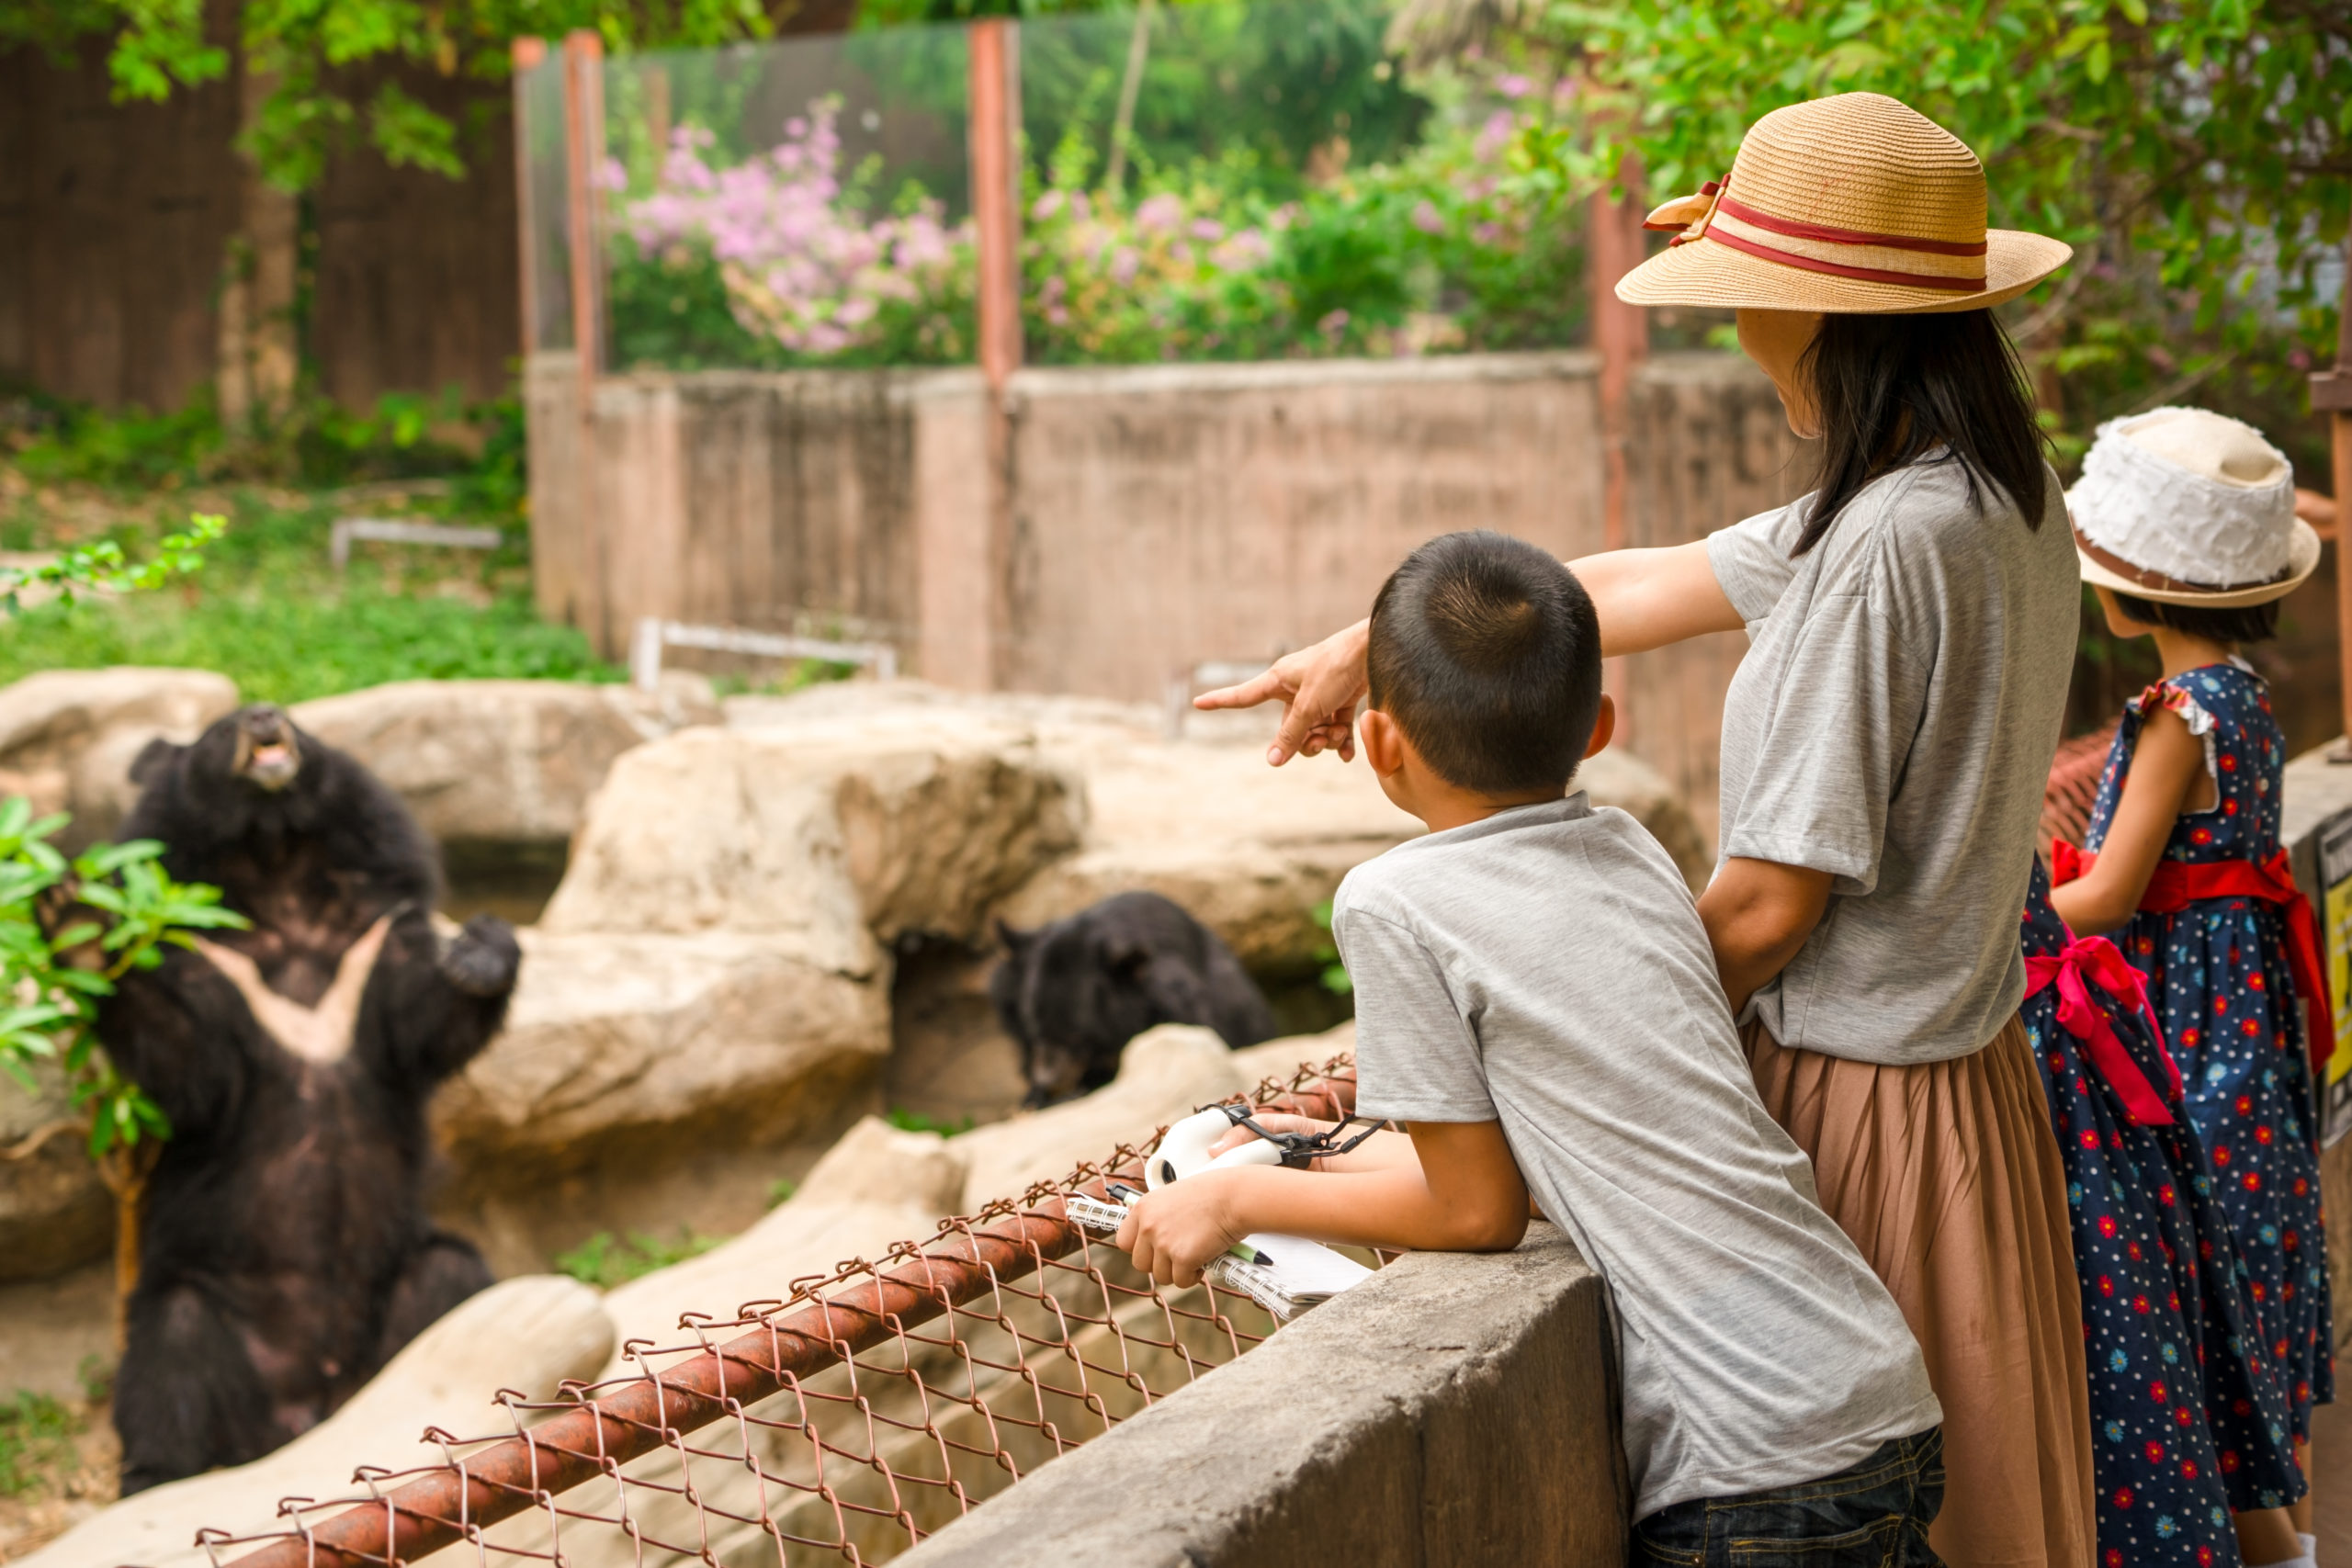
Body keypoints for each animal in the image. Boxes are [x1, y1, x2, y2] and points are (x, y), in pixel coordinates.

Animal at [90, 705, 519, 1495]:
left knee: (451, 1284)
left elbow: (426, 1018)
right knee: (171, 1353)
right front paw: (87, 941)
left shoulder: (372, 936)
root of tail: (312, 1402)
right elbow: (189, 1062)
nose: (263, 718)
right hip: (205, 1304)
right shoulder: (208, 963)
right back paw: (152, 1474)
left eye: (293, 721)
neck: (276, 859)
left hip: (401, 1293)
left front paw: (477, 951)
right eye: (219, 729)